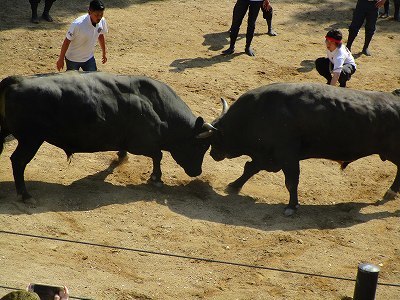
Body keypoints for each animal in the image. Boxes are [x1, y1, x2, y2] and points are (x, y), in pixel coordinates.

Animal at [0, 71, 211, 200]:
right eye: (200, 146)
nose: (197, 172)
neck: (156, 104)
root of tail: (16, 81)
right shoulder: (142, 142)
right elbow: (157, 155)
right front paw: (156, 178)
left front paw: (121, 157)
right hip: (31, 139)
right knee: (18, 161)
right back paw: (25, 195)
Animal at [205, 83, 400, 216]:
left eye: (215, 138)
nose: (213, 154)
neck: (258, 112)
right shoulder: (266, 156)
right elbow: (249, 168)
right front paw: (234, 185)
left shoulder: (287, 156)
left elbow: (291, 182)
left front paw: (292, 206)